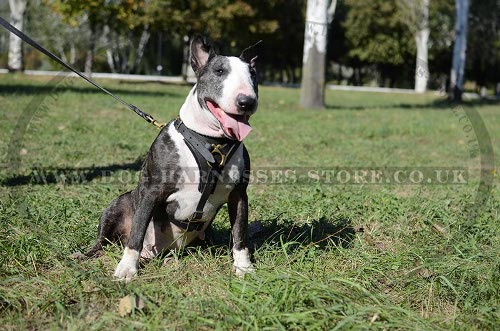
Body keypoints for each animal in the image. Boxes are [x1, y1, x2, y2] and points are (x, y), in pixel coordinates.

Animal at [85, 36, 260, 280]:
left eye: (252, 74)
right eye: (219, 71)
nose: (247, 101)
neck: (212, 143)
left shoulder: (239, 195)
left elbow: (240, 233)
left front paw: (244, 267)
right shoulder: (151, 192)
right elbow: (137, 231)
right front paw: (127, 269)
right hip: (120, 203)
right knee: (105, 240)